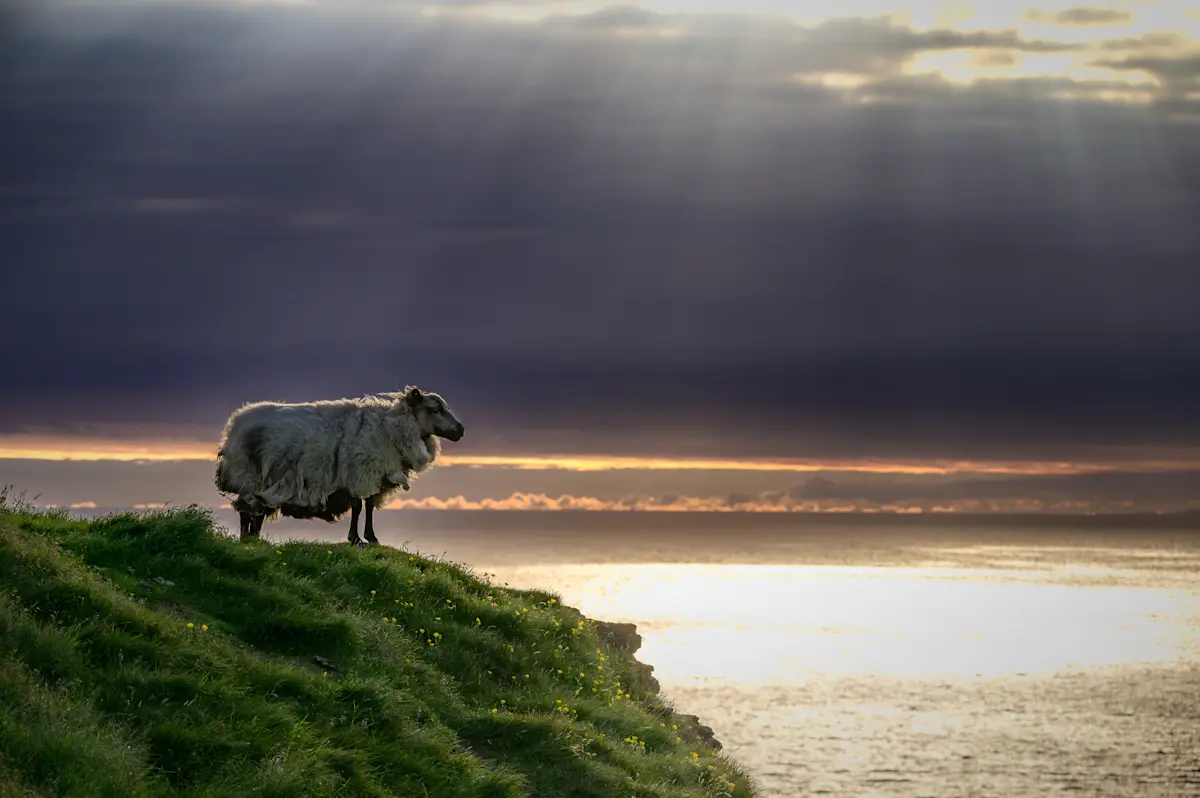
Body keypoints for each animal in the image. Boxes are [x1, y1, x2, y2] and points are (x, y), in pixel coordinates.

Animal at [215, 386, 464, 545]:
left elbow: (369, 505)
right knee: (246, 509)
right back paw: (247, 539)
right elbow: (358, 506)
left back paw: (254, 538)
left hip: (262, 480)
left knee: (255, 510)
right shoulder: (357, 473)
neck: (389, 427)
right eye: (435, 409)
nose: (461, 430)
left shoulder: (373, 476)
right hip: (248, 474)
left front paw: (371, 538)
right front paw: (356, 539)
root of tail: (236, 422)